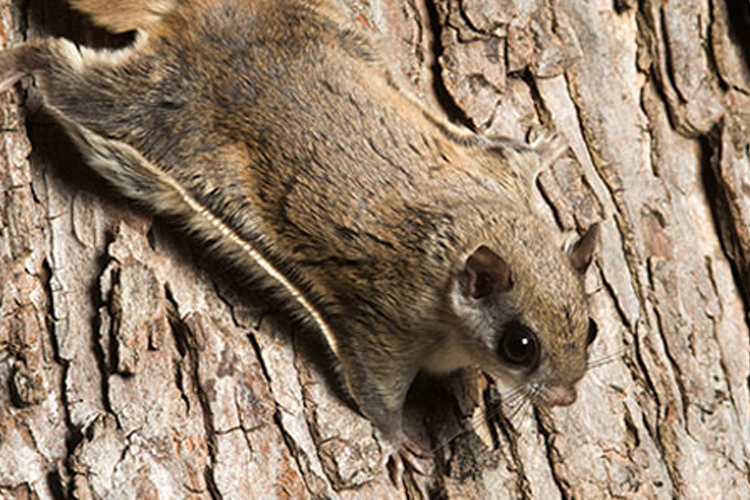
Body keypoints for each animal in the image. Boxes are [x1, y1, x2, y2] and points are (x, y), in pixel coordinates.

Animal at [0, 0, 600, 484]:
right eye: (520, 345)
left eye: (591, 328)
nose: (567, 396)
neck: (468, 231)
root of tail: (195, 20)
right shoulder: (386, 322)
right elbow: (376, 391)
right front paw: (396, 443)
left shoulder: (493, 173)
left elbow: (513, 156)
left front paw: (546, 151)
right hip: (150, 109)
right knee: (67, 75)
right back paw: (22, 62)